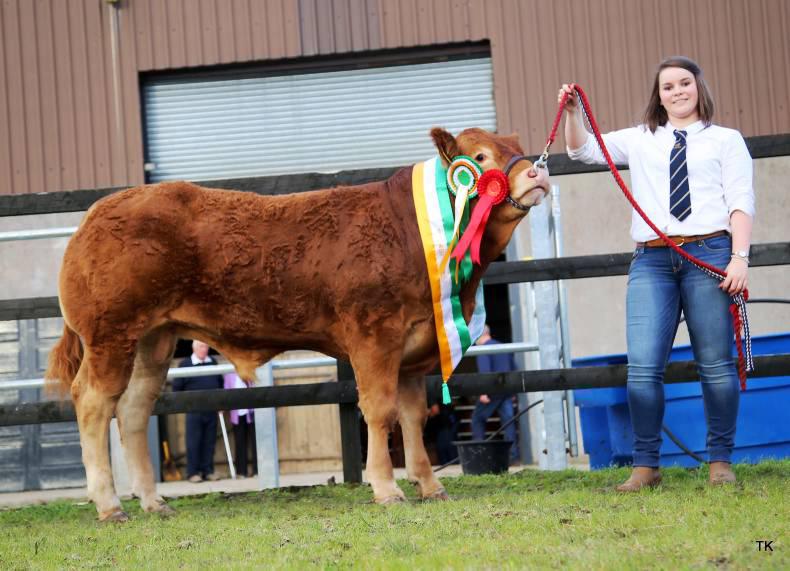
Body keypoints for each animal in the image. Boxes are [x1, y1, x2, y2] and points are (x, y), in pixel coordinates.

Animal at [45, 127, 549, 521]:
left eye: (516, 145)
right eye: (479, 157)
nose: (537, 172)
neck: (412, 231)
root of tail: (99, 212)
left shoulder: (412, 349)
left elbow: (411, 417)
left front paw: (430, 487)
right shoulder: (374, 336)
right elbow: (379, 411)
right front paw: (387, 490)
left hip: (154, 339)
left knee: (132, 409)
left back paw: (154, 502)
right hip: (111, 334)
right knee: (93, 403)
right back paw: (110, 505)